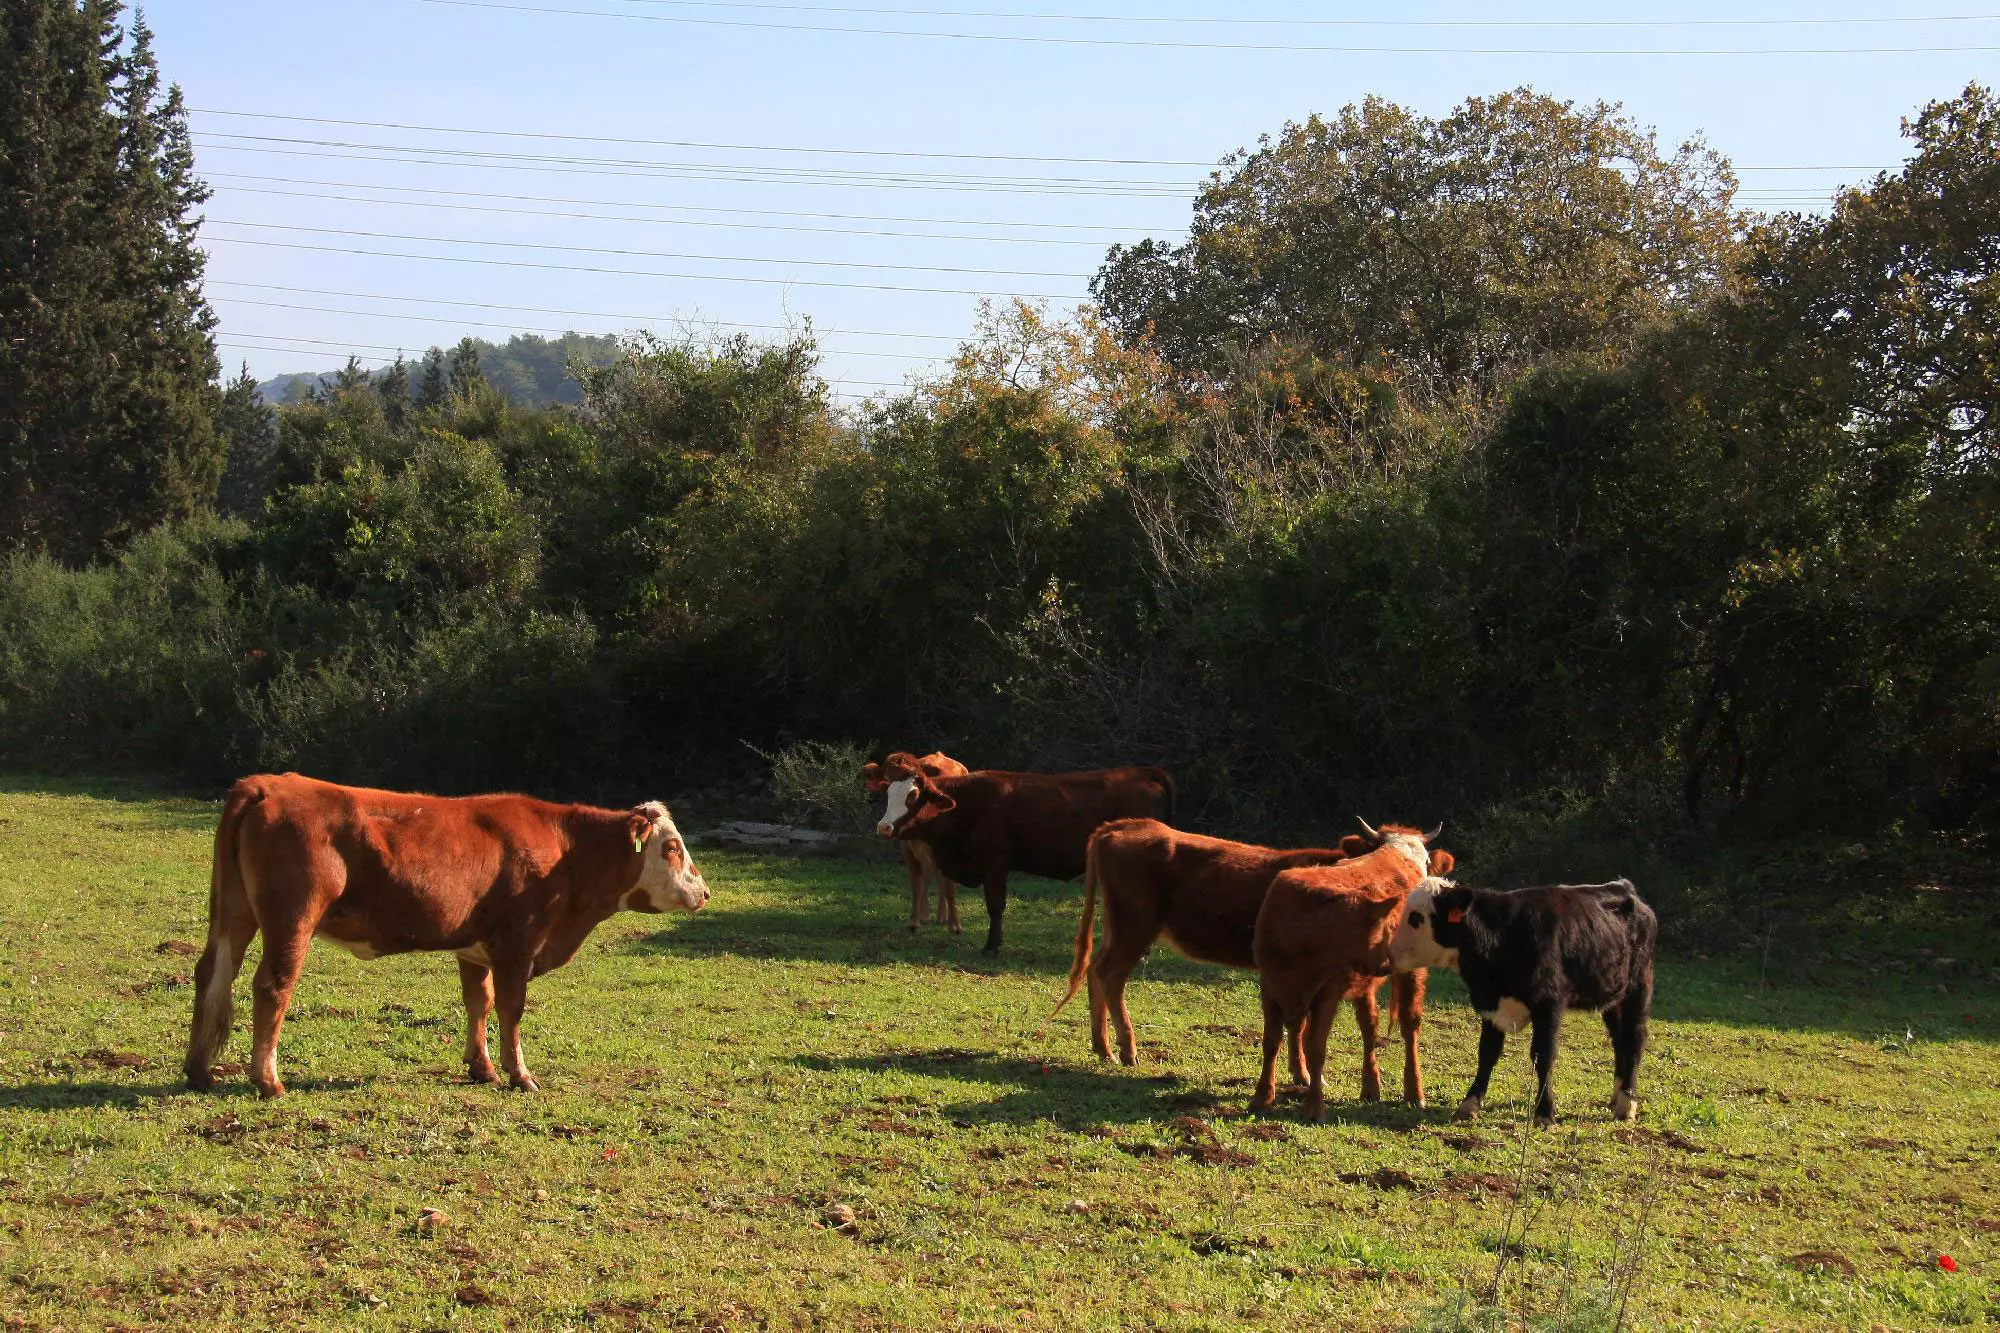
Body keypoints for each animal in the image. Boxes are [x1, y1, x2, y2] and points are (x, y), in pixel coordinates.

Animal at [182, 772, 712, 1096]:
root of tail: (266, 784)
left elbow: (478, 1002)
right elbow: (511, 1008)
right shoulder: (518, 943)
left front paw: (482, 1069)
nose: (705, 892)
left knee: (212, 974)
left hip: (232, 913)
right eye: (672, 847)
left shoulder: (475, 949)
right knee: (272, 986)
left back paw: (199, 1071)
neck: (567, 853)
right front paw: (521, 1075)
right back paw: (268, 1081)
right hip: (292, 918)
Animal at [864, 748, 972, 932]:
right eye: (887, 787)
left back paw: (942, 915)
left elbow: (950, 888)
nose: (884, 827)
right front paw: (915, 921)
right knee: (927, 878)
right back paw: (927, 915)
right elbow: (916, 885)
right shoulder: (907, 849)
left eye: (913, 795)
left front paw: (954, 924)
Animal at [1048, 816, 1376, 1064]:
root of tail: (1125, 824)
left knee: (1095, 970)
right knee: (1110, 974)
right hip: (1135, 927)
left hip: (1118, 928)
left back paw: (1103, 1048)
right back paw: (1128, 1051)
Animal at [1248, 816, 1456, 1112]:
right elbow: (1275, 1041)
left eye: (1428, 860)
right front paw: (1264, 1097)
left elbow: (1322, 1041)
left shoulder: (1334, 988)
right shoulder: (1273, 985)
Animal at [1392, 876, 1656, 1128]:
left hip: (1638, 988)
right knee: (1619, 1042)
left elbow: (1543, 1056)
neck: (1504, 935)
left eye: (1416, 917)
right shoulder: (1491, 1007)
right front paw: (1469, 1104)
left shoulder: (1548, 1006)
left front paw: (1545, 1114)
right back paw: (1616, 1098)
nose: (1389, 952)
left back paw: (1627, 1104)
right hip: (1612, 997)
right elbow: (1487, 1053)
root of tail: (1625, 888)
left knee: (1634, 1040)